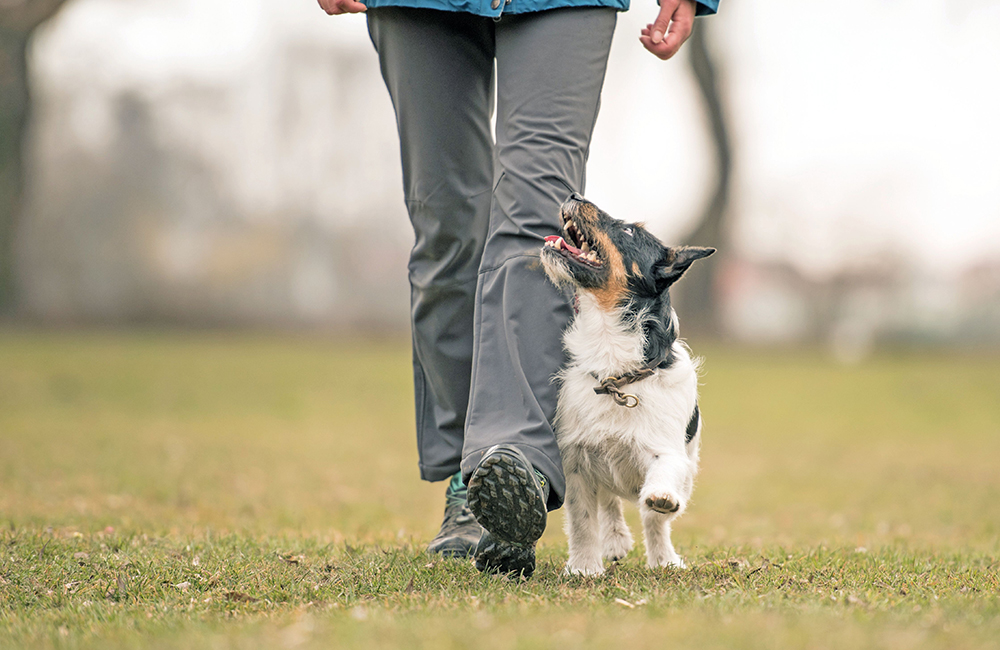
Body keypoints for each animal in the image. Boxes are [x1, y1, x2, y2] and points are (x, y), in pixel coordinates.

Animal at [544, 192, 716, 572]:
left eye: (628, 231)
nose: (574, 195)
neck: (617, 374)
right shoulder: (575, 461)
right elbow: (582, 521)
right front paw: (585, 566)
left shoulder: (669, 452)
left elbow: (662, 484)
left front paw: (661, 504)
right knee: (609, 502)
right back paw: (615, 540)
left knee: (654, 521)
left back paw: (664, 559)